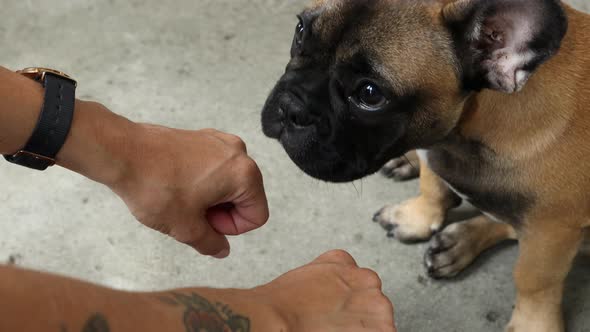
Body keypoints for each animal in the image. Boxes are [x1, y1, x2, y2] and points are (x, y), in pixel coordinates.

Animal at [262, 0, 590, 332]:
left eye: (370, 94)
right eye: (300, 31)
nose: (290, 104)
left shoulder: (552, 231)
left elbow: (533, 280)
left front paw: (533, 322)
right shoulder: (434, 149)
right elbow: (432, 186)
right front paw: (416, 217)